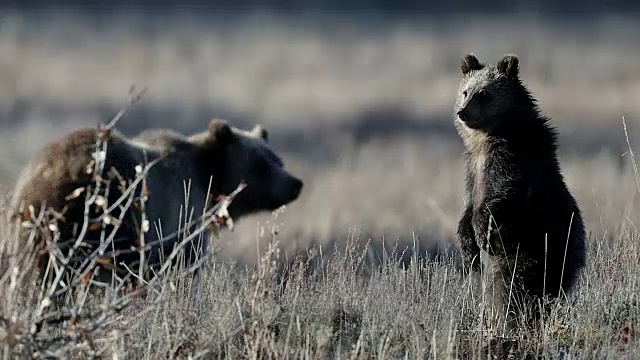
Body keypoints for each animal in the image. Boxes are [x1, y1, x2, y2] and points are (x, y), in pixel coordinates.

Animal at [7, 118, 302, 290]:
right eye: (261, 164)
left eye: (278, 159)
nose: (295, 183)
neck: (208, 179)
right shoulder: (180, 216)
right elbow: (181, 267)